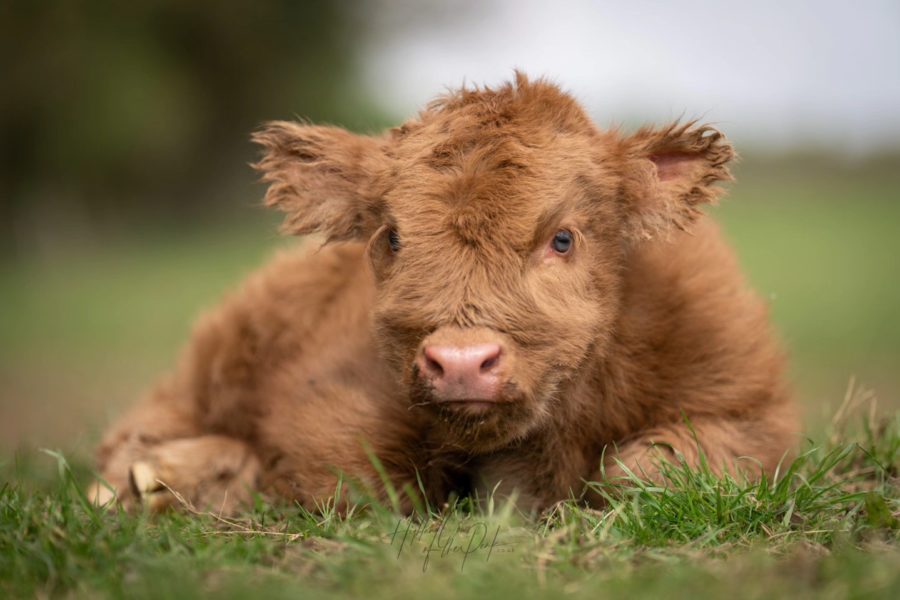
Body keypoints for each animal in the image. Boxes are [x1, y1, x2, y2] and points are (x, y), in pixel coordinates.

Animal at [90, 74, 798, 514]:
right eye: (392, 236)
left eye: (562, 238)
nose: (461, 362)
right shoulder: (328, 411)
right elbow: (359, 481)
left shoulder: (751, 410)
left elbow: (650, 469)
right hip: (226, 348)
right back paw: (155, 479)